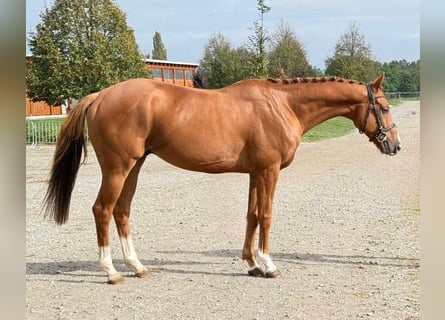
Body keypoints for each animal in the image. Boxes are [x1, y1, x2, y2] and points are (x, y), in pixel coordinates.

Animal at [44, 74, 398, 282]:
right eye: (383, 107)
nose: (395, 145)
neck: (282, 104)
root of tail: (99, 96)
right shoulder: (268, 171)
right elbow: (266, 216)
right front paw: (268, 264)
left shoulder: (256, 172)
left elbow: (252, 215)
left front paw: (252, 263)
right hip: (118, 168)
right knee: (102, 210)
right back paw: (110, 271)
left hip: (134, 166)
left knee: (121, 211)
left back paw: (137, 266)